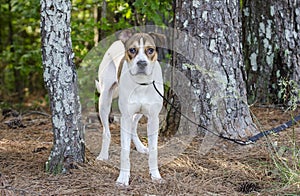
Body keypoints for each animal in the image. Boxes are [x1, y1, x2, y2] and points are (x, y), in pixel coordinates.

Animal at [95, 30, 165, 185]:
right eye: (132, 50)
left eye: (150, 50)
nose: (142, 63)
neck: (141, 83)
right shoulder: (125, 117)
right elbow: (125, 152)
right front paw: (123, 178)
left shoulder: (153, 118)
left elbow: (154, 151)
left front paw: (155, 175)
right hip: (104, 99)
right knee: (106, 132)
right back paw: (103, 155)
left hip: (139, 113)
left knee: (134, 125)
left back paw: (140, 147)